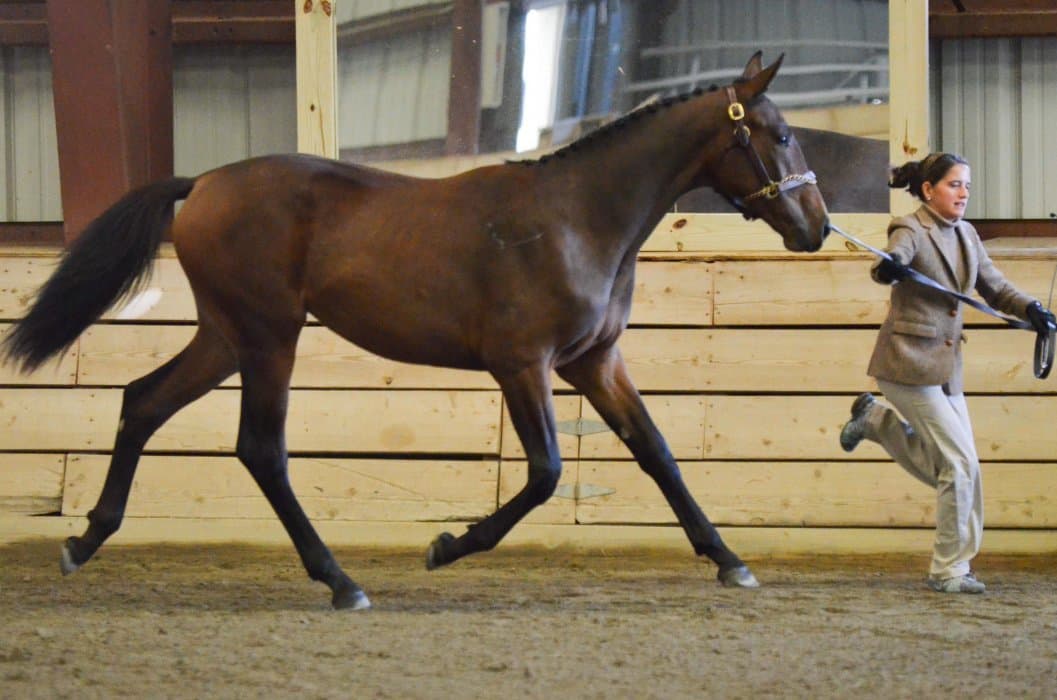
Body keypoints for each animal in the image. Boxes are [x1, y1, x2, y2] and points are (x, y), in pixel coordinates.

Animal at [2, 52, 829, 610]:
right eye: (781, 133)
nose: (816, 228)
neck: (579, 216)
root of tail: (201, 183)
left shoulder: (594, 362)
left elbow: (656, 453)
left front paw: (728, 559)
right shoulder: (522, 364)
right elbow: (545, 473)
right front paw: (447, 545)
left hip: (225, 336)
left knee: (142, 402)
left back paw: (83, 541)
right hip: (267, 338)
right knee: (260, 449)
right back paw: (340, 582)